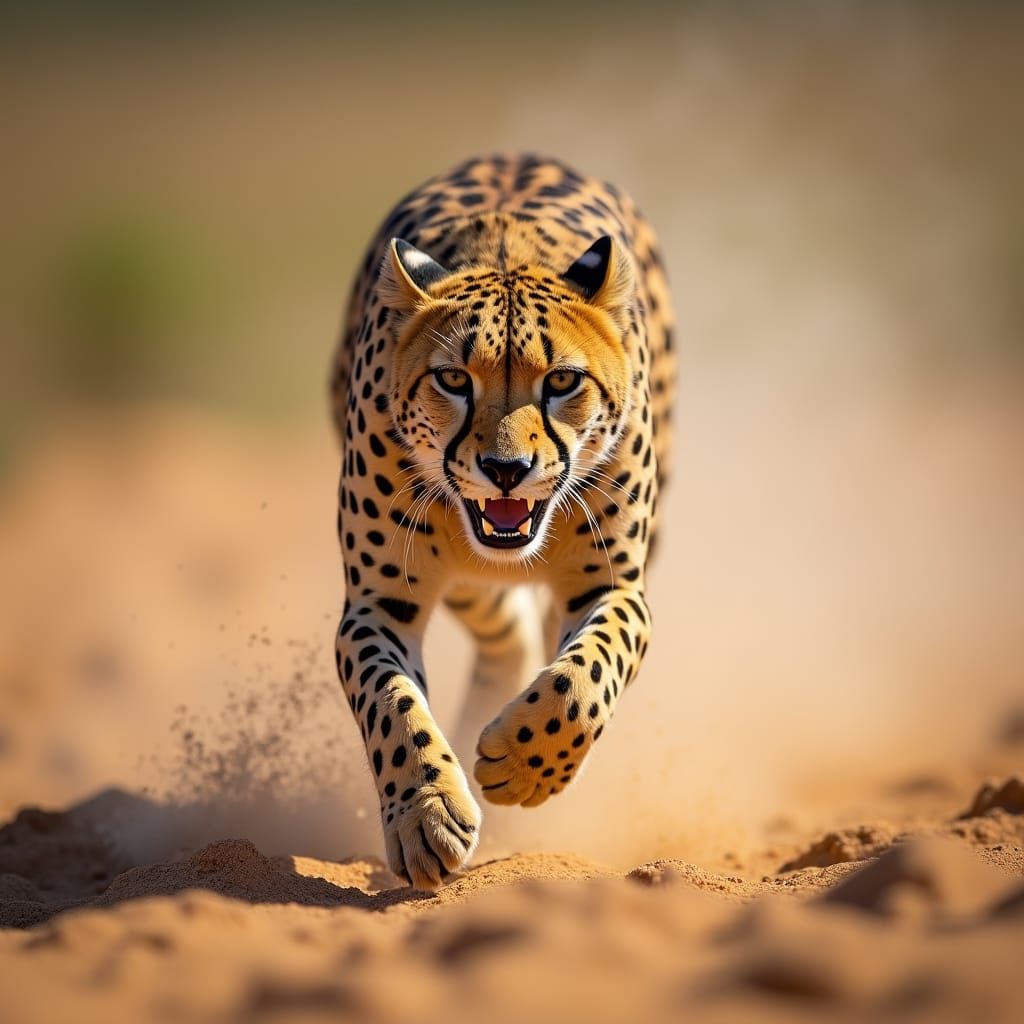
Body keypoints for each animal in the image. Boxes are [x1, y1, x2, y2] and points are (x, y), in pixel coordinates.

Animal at [330, 154, 675, 889]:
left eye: (563, 381)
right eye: (455, 380)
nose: (506, 469)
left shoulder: (615, 587)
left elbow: (586, 675)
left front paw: (524, 764)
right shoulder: (376, 603)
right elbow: (392, 703)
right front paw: (426, 813)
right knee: (500, 621)